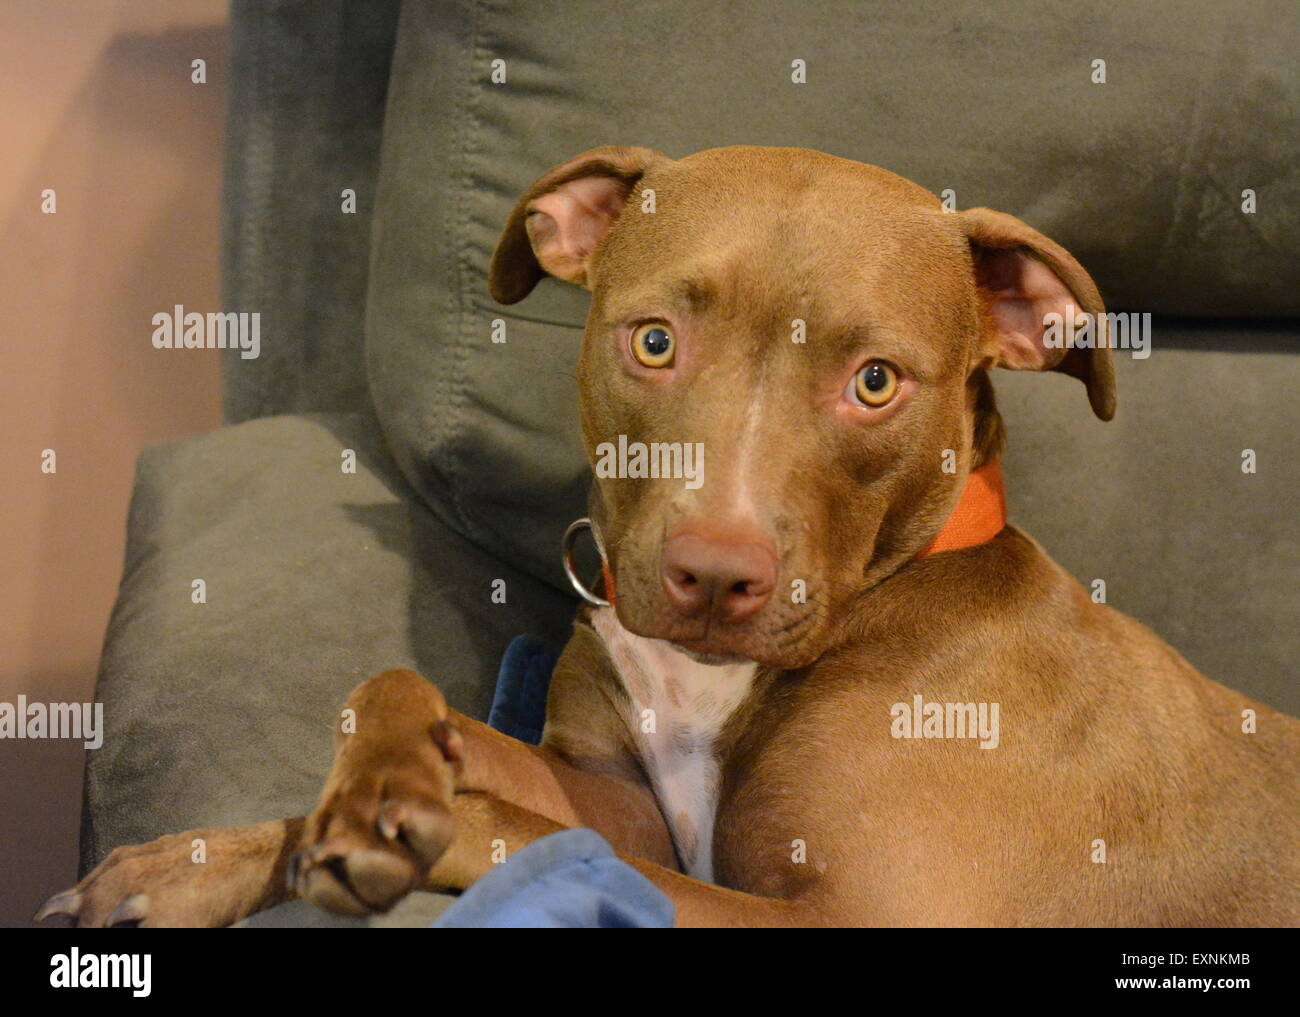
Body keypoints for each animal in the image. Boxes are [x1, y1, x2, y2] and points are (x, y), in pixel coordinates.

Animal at [40, 147, 1300, 925]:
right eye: (653, 341)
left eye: (875, 381)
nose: (713, 577)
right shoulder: (618, 795)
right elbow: (407, 695)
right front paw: (215, 856)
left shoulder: (844, 915)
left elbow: (518, 830)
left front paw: (404, 826)